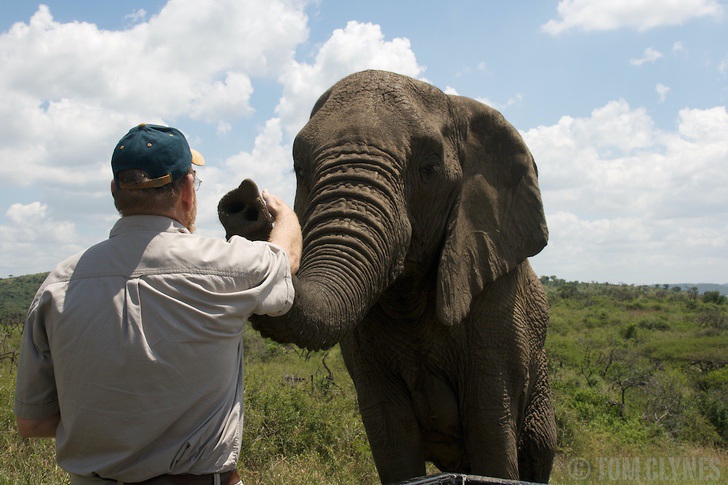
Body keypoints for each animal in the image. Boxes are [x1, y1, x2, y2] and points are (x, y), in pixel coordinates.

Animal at [219, 70, 556, 482]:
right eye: (300, 169)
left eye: (429, 170)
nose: (247, 201)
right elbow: (391, 437)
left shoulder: (498, 303)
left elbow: (492, 434)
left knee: (537, 450)